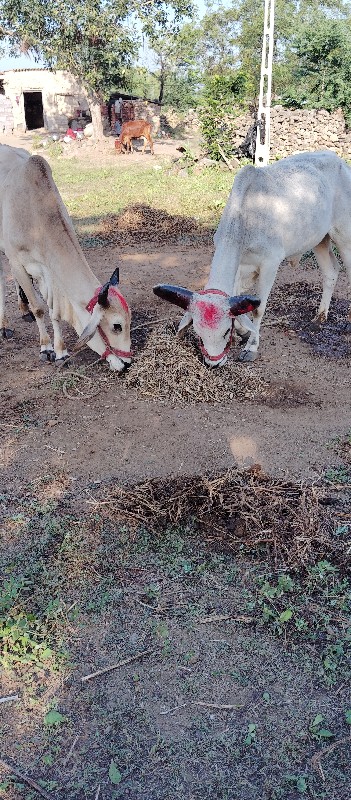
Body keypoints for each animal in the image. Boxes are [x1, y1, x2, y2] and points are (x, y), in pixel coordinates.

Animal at [0, 145, 132, 370]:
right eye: (117, 326)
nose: (128, 363)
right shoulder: (17, 261)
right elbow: (39, 308)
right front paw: (46, 348)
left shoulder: (49, 273)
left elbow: (54, 312)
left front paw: (61, 351)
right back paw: (4, 325)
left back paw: (23, 309)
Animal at [153, 150, 351, 366]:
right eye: (199, 333)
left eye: (225, 332)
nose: (213, 364)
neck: (247, 216)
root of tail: (340, 161)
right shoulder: (240, 267)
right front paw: (244, 332)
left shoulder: (270, 264)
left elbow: (258, 309)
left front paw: (251, 347)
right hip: (320, 240)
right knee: (331, 272)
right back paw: (319, 318)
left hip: (344, 236)